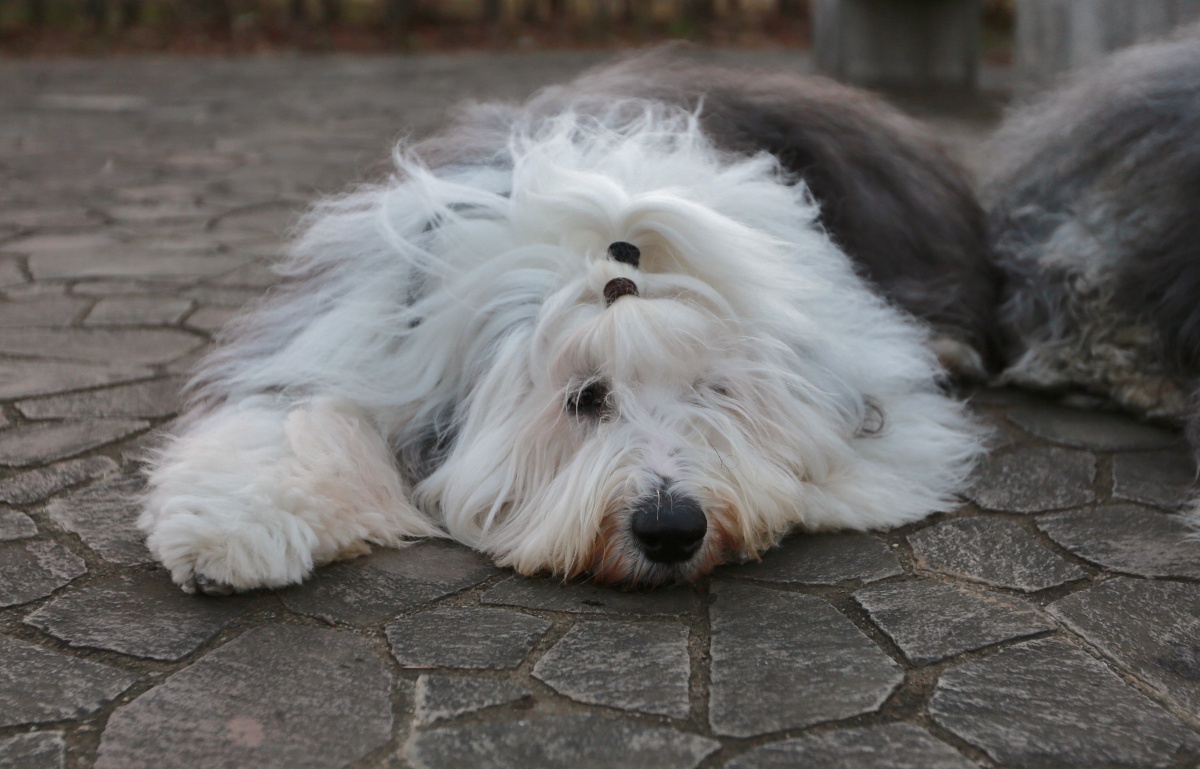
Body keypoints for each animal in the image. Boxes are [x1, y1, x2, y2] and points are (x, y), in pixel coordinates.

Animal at [140, 51, 989, 594]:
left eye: (712, 392)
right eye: (584, 397)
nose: (671, 528)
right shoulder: (362, 342)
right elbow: (289, 421)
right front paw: (228, 536)